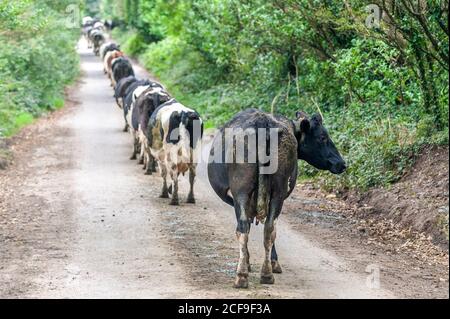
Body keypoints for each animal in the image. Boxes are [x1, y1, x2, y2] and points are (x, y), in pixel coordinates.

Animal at [207, 109, 348, 288]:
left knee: (251, 228)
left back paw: (248, 274)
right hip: (274, 193)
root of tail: (262, 123)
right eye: (323, 137)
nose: (342, 164)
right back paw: (258, 273)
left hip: (245, 191)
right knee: (265, 228)